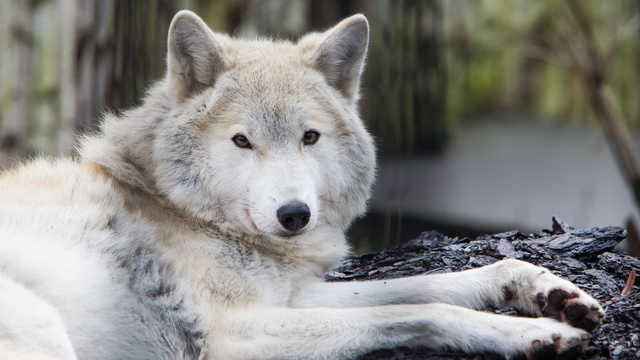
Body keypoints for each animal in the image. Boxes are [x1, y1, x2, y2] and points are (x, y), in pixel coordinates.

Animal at [0, 9, 604, 358]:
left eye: (309, 137)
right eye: (242, 141)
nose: (294, 215)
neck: (180, 208)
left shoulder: (288, 295)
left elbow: (425, 286)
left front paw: (541, 288)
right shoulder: (233, 332)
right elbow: (419, 310)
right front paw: (533, 335)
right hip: (46, 327)